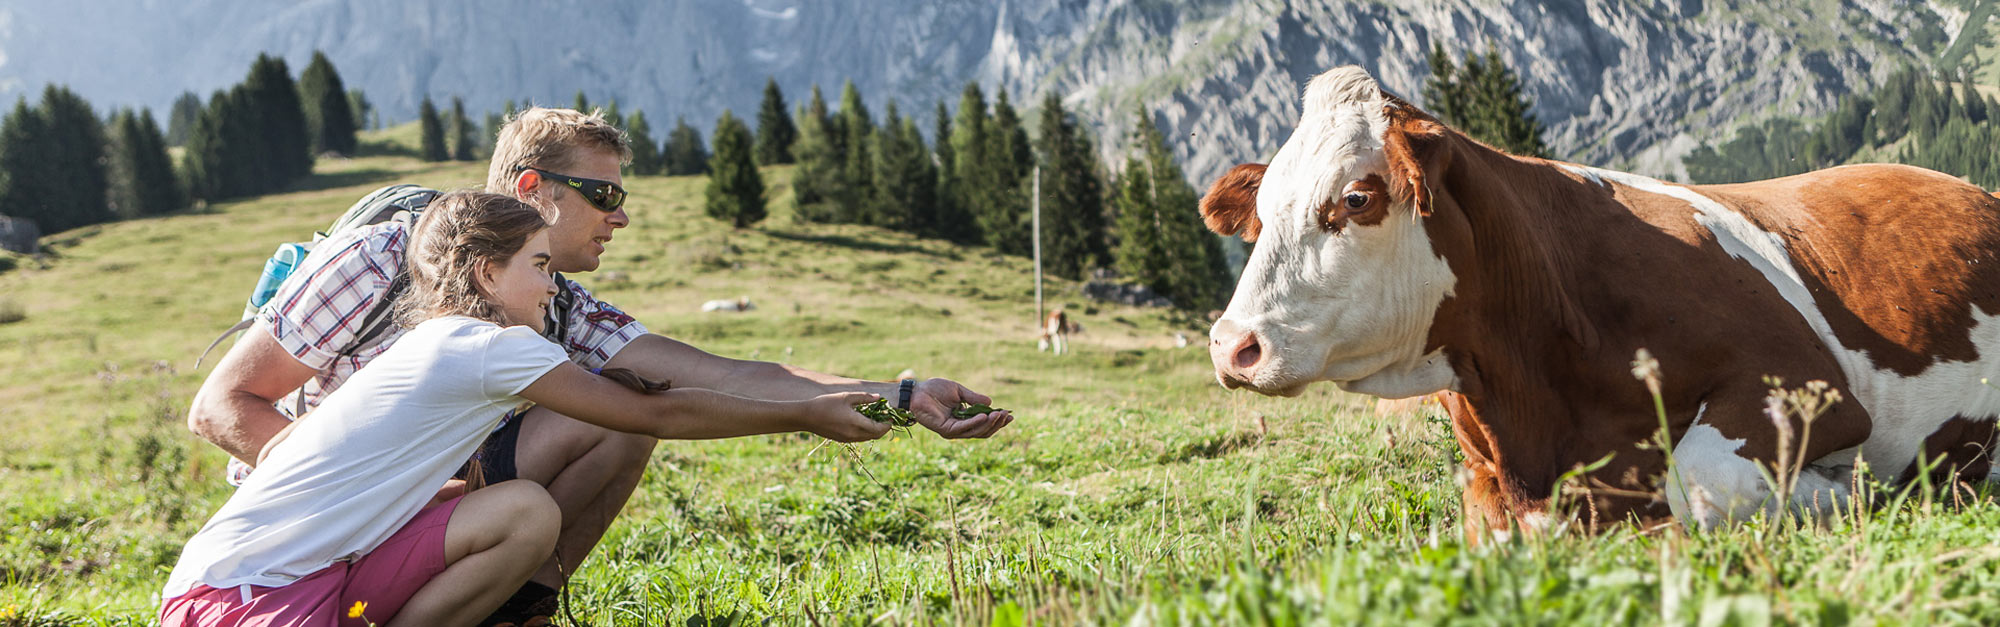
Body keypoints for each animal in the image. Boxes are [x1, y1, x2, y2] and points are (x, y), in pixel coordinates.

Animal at [1200, 63, 2000, 535]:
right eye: (1261, 214)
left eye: (1358, 198)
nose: (1233, 344)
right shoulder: (1493, 485)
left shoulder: (1807, 383)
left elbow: (1698, 480)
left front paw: (1850, 489)